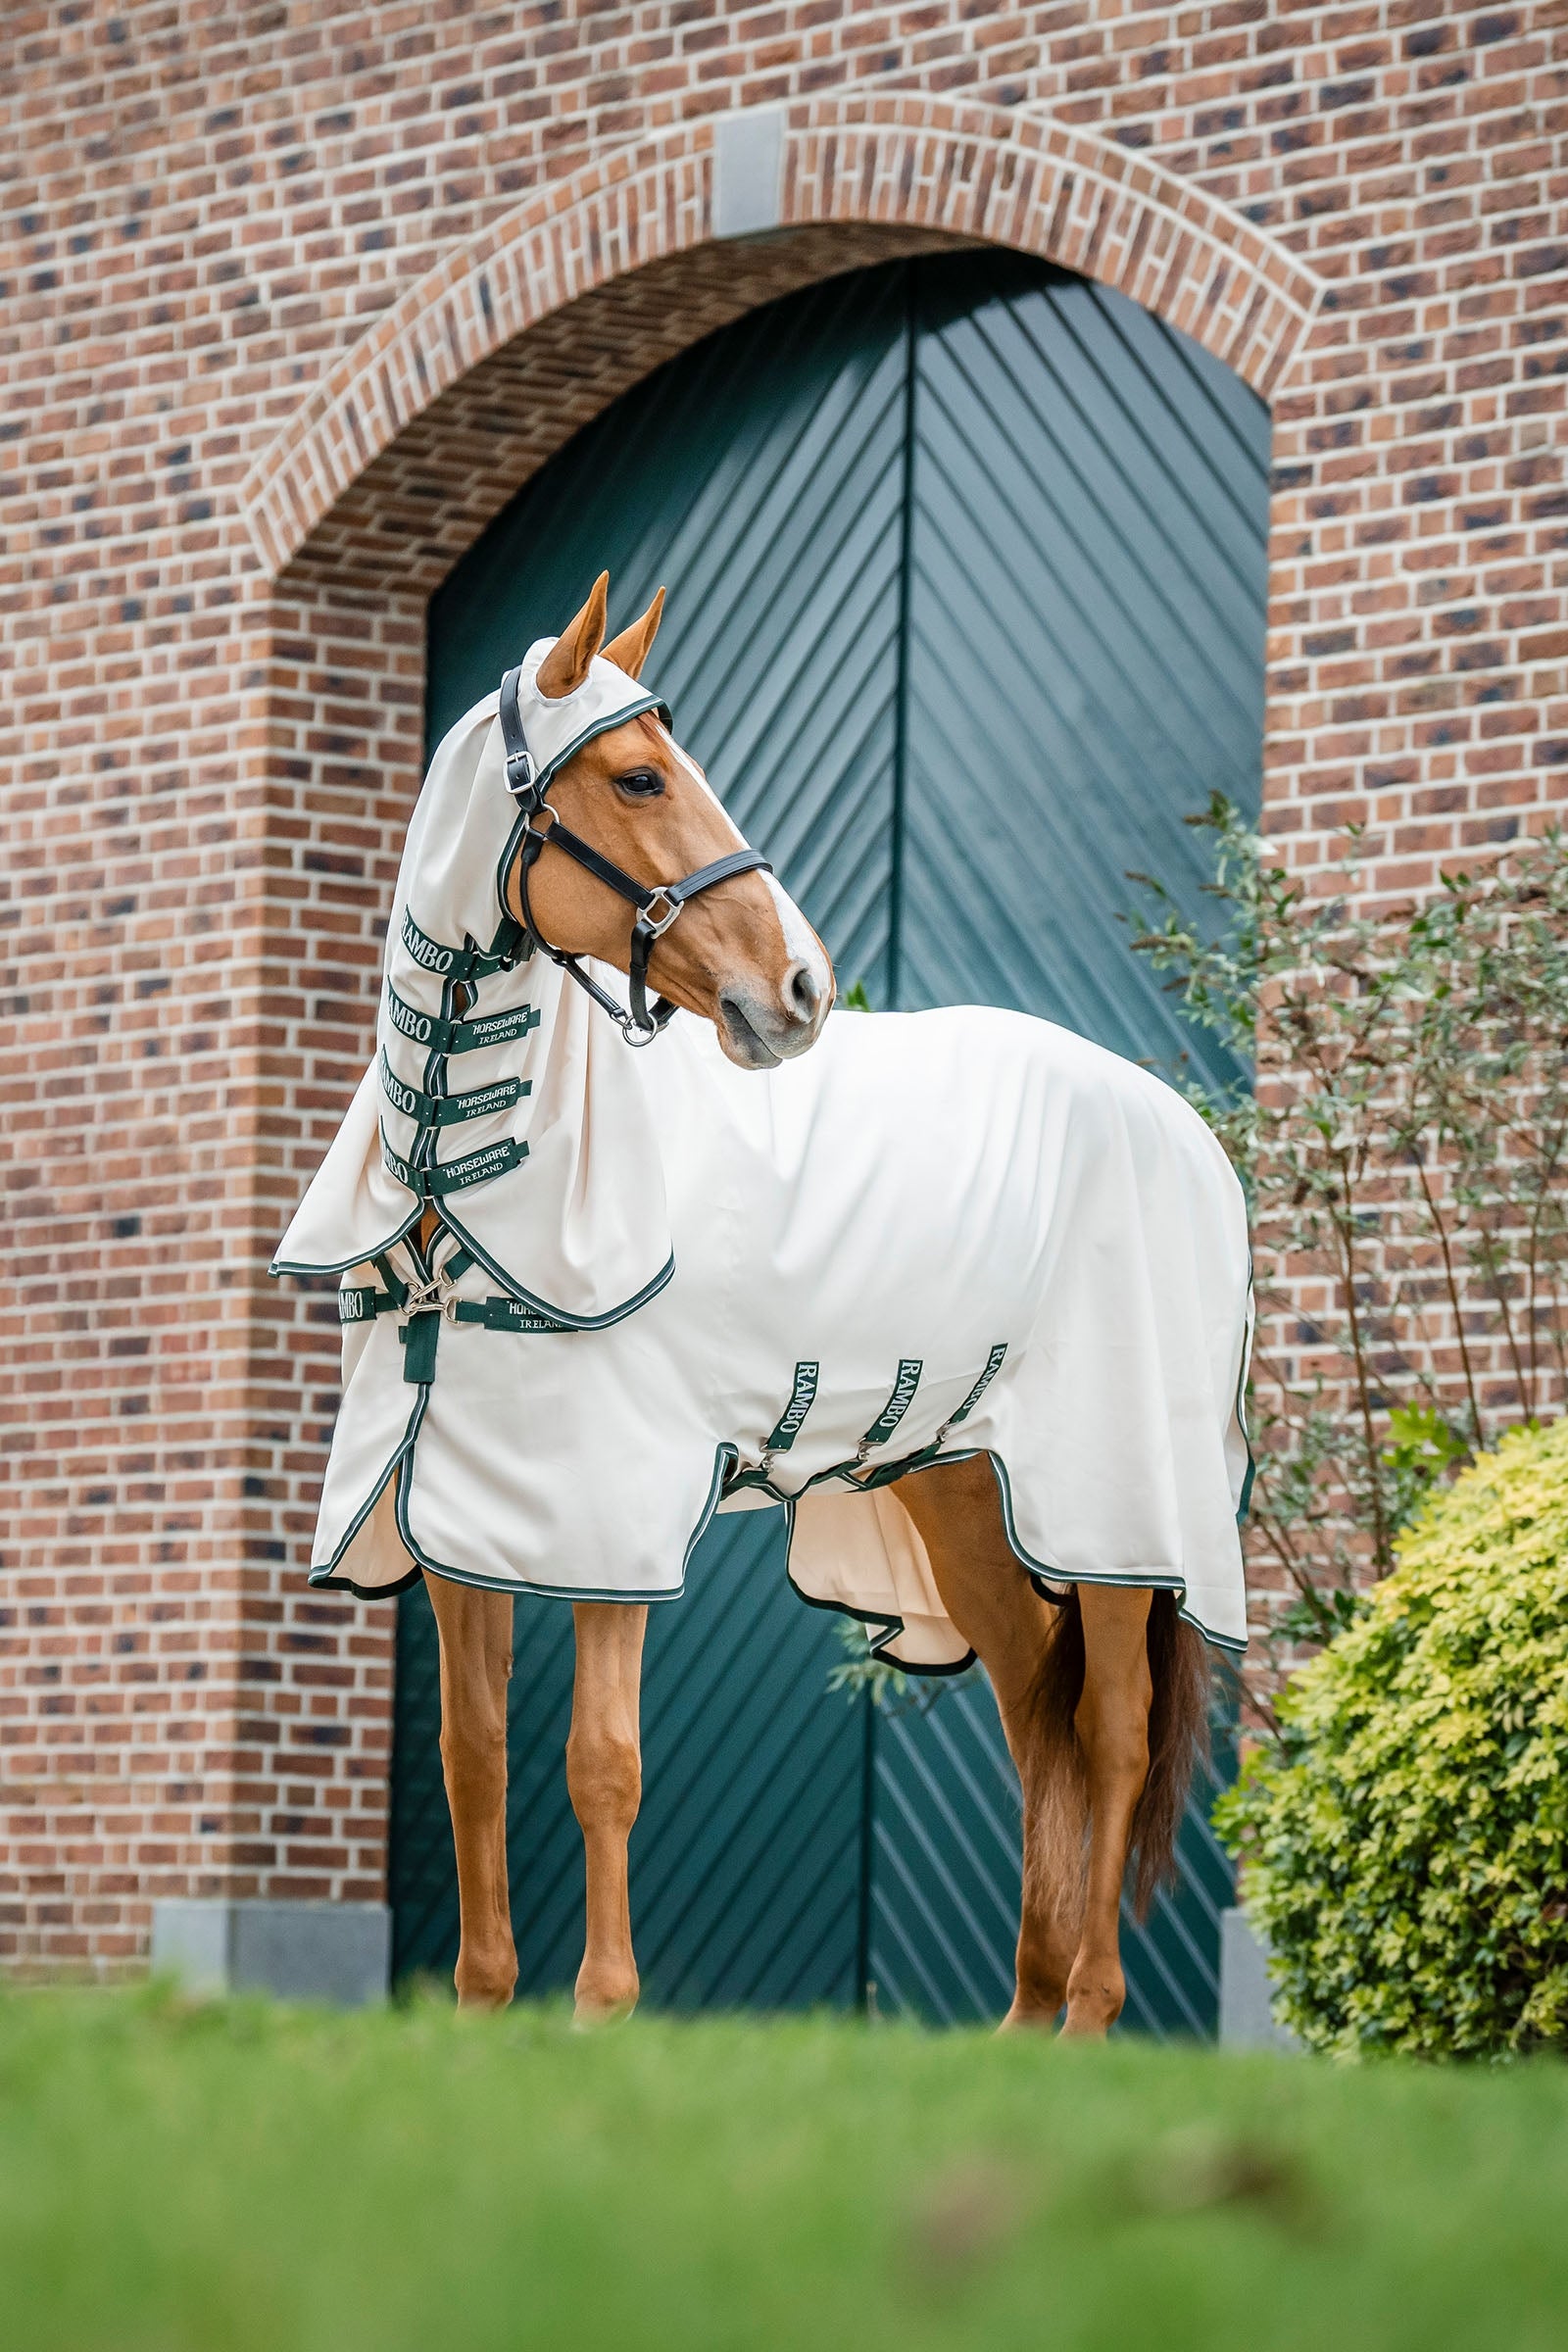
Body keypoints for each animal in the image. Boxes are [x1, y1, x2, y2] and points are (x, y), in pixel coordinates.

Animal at [272, 572, 1252, 2037]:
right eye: (635, 775)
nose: (800, 991)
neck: (471, 1173)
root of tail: (1178, 1125)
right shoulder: (457, 1514)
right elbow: (474, 1755)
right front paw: (485, 2014)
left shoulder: (606, 1513)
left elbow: (601, 1760)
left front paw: (601, 2014)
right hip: (961, 1488)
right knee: (1038, 1712)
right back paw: (1025, 2027)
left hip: (1119, 1512)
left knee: (1114, 1730)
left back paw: (1086, 2013)